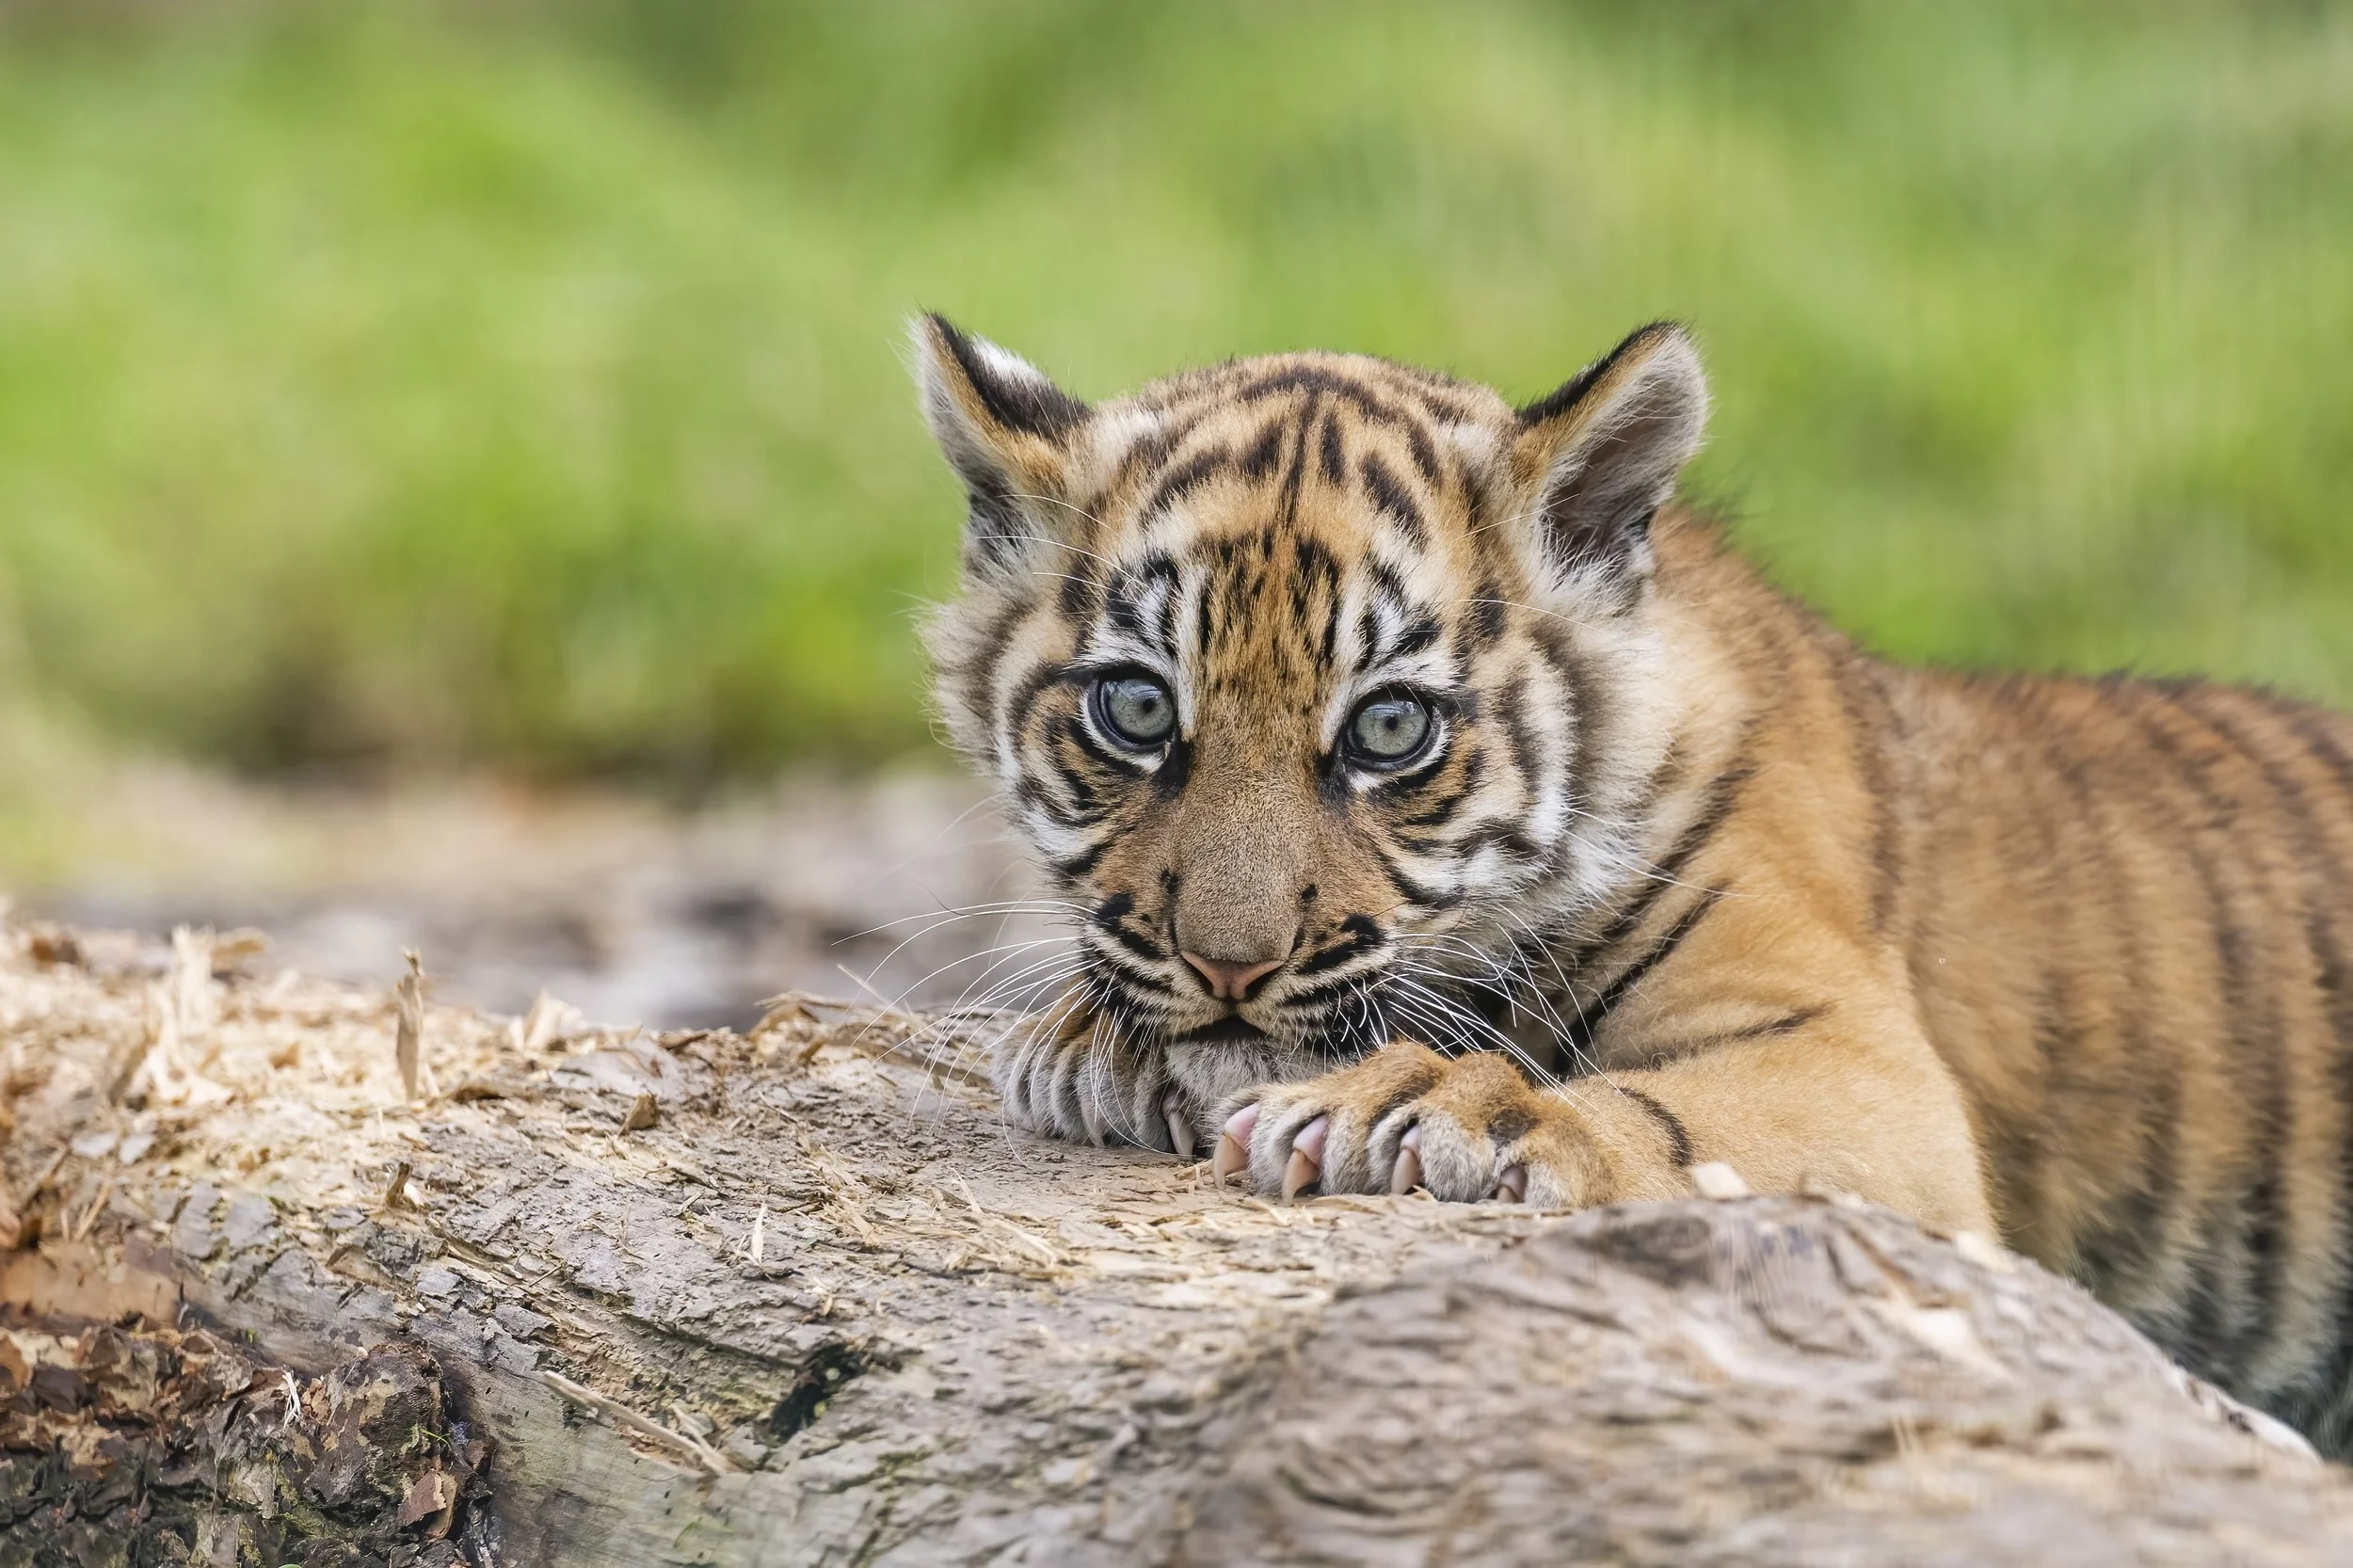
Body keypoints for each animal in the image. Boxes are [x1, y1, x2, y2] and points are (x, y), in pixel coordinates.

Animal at [911, 313, 2353, 1453]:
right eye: (1138, 709)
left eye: (1390, 729)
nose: (1228, 965)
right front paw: (1088, 1040)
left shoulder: (1862, 1062)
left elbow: (1659, 1110)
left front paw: (1445, 1107)